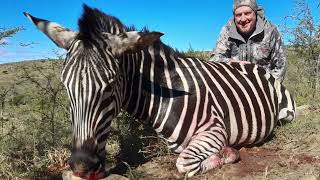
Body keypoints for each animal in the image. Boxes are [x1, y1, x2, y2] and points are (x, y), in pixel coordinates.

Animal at [24, 4, 296, 179]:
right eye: (66, 86)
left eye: (110, 85)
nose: (82, 166)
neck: (164, 99)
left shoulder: (214, 129)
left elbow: (184, 163)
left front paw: (228, 154)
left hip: (286, 114)